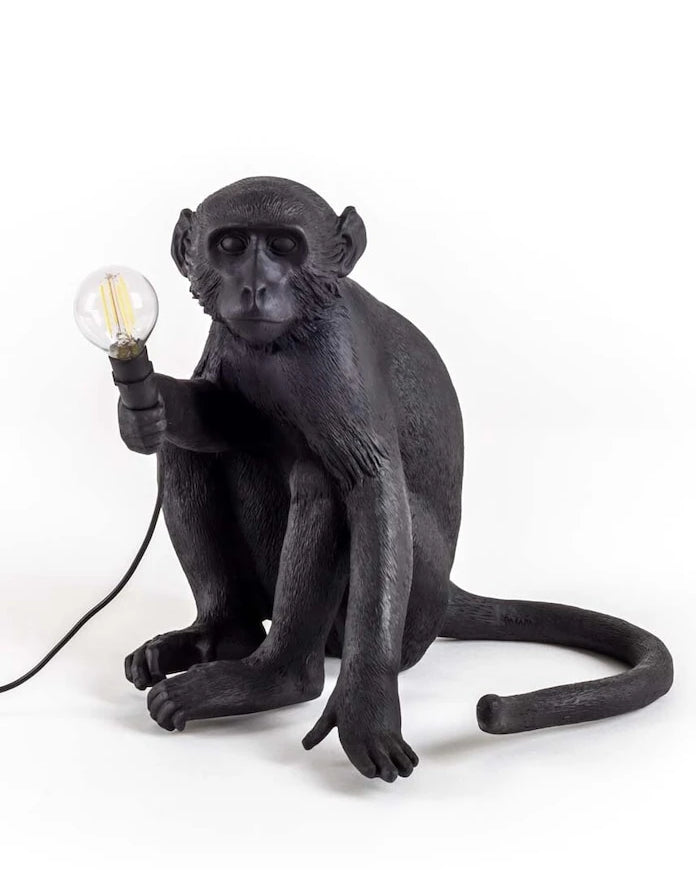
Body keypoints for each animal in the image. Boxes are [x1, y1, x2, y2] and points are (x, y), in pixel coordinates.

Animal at [118, 177, 673, 781]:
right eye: (231, 245)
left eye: (285, 247)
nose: (255, 287)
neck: (286, 338)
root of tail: (447, 592)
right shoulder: (229, 338)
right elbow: (219, 417)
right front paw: (148, 403)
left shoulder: (335, 357)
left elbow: (370, 484)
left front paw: (366, 708)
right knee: (190, 453)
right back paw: (222, 634)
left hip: (414, 605)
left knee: (322, 480)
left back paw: (277, 678)